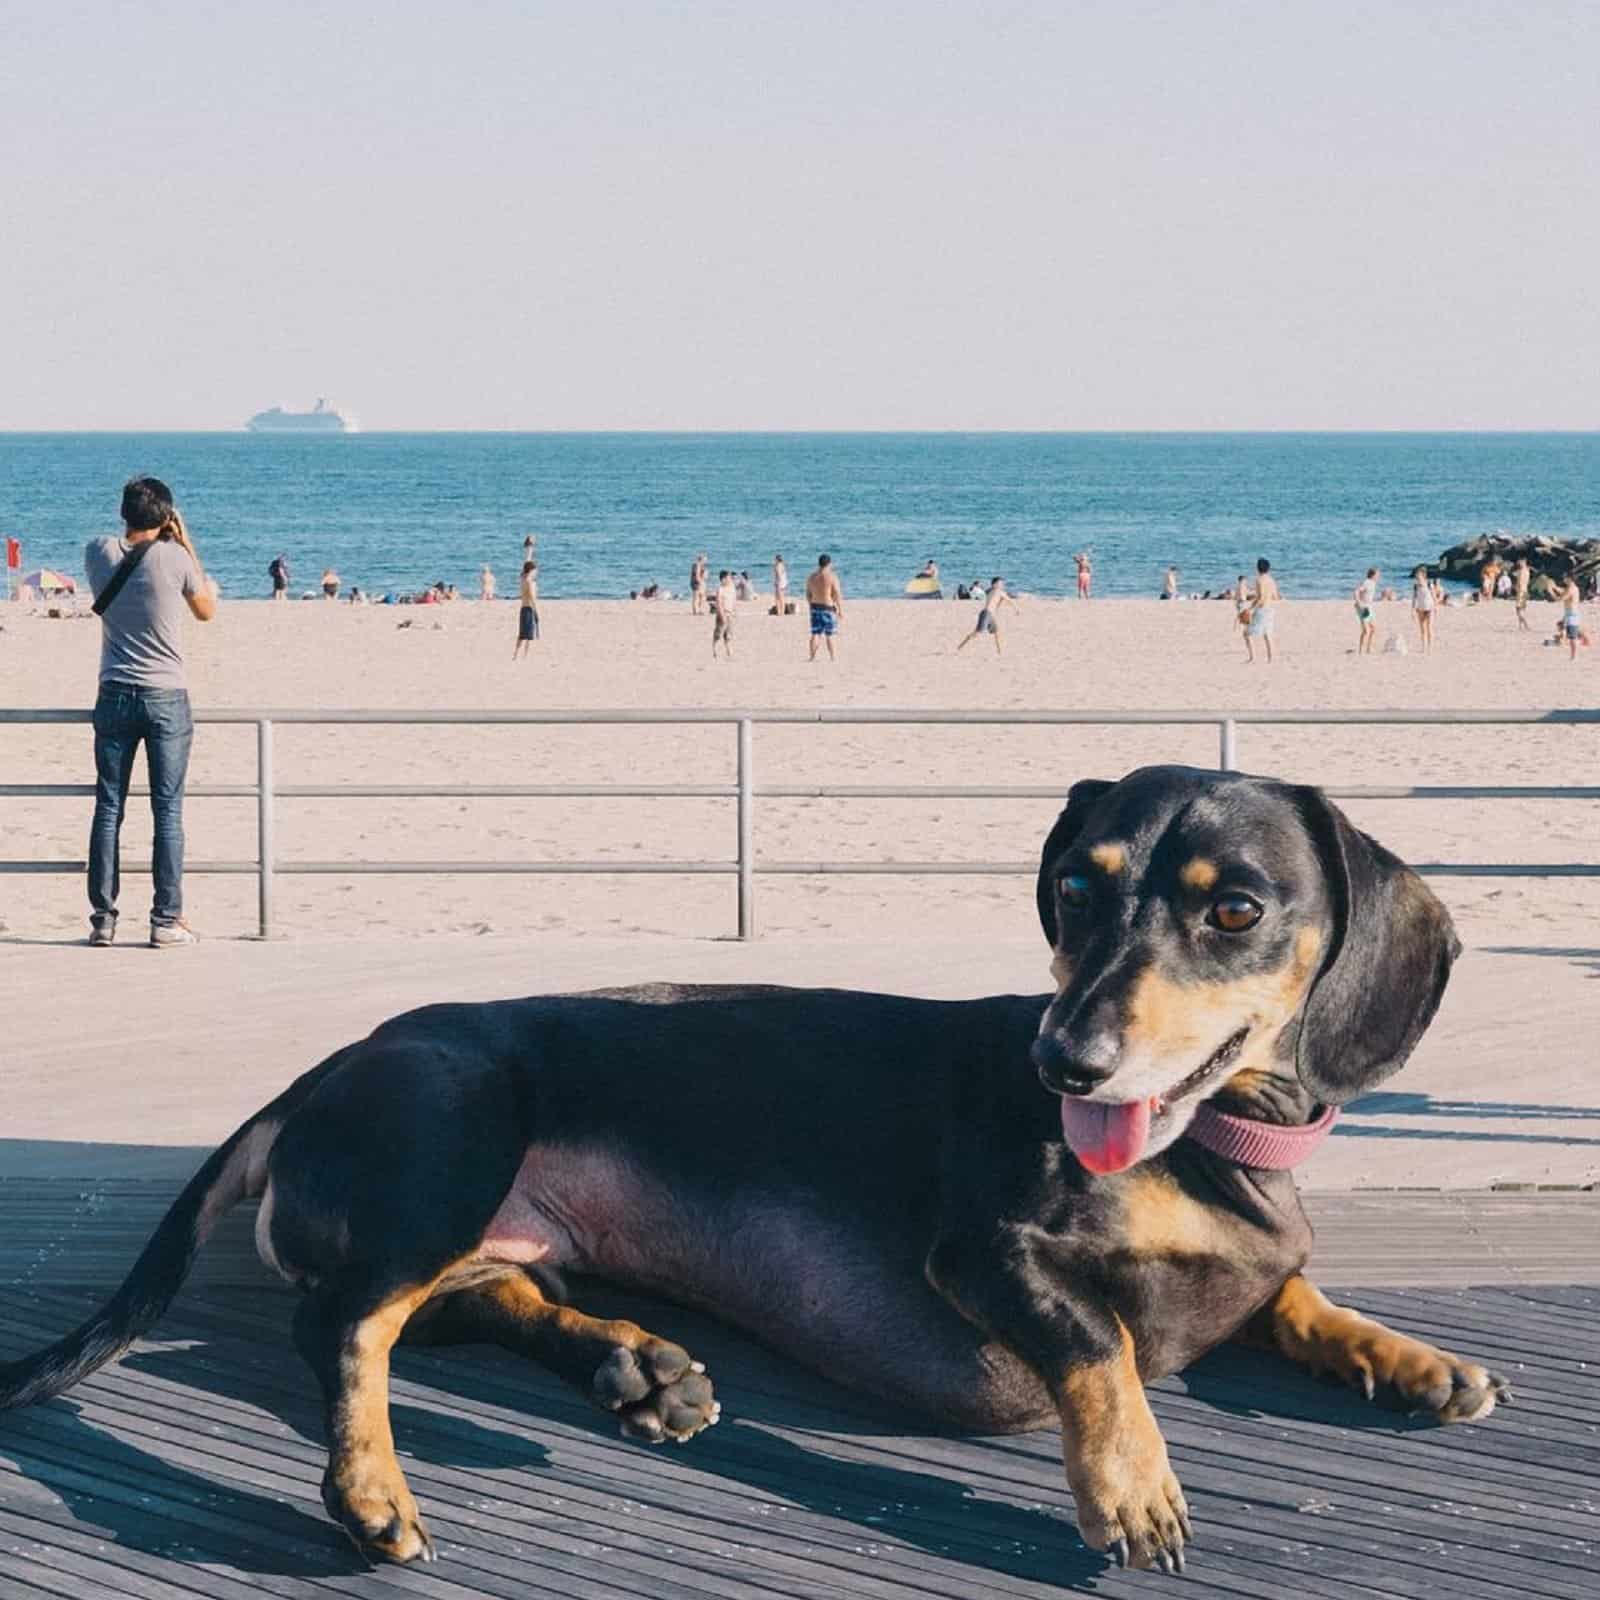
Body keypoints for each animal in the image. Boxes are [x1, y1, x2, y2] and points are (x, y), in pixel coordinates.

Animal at [0, 764, 1504, 1574]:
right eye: (1076, 888)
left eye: (1234, 907)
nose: (1061, 1061)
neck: (1215, 1152)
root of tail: (315, 1075)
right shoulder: (984, 1251)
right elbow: (1102, 1345)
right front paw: (1132, 1485)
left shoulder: (1255, 1266)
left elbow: (1296, 1299)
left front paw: (1411, 1359)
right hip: (458, 1120)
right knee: (346, 1325)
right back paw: (374, 1490)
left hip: (494, 1220)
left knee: (470, 1301)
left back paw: (635, 1368)